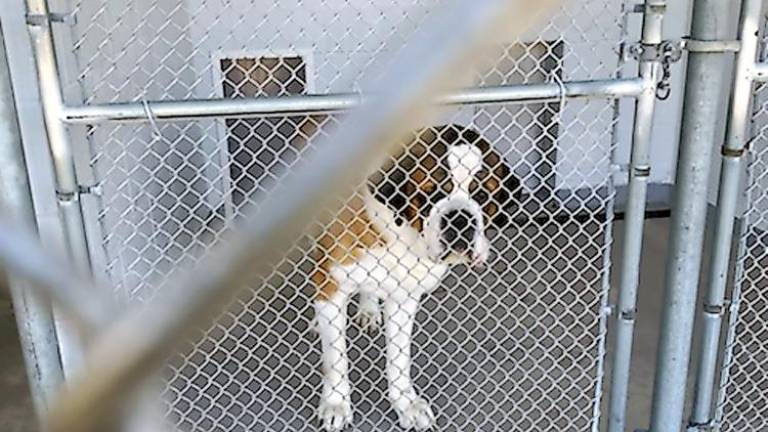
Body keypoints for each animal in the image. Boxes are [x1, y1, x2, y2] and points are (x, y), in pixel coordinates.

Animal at [312, 123, 520, 430]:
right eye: (431, 193)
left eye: (482, 196)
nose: (460, 219)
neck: (401, 234)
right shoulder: (334, 283)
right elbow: (336, 357)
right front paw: (336, 404)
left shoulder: (405, 296)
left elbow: (399, 359)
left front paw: (406, 403)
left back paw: (369, 308)